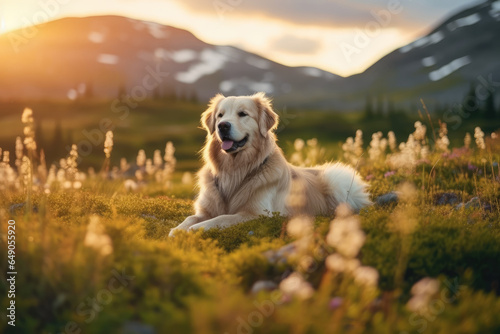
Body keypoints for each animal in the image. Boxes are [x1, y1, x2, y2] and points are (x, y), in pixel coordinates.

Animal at [170, 92, 370, 236]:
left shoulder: (256, 214)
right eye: (220, 115)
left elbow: (221, 218)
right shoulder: (205, 209)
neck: (234, 169)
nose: (223, 126)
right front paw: (177, 230)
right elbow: (190, 218)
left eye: (242, 114)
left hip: (337, 178)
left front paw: (196, 229)